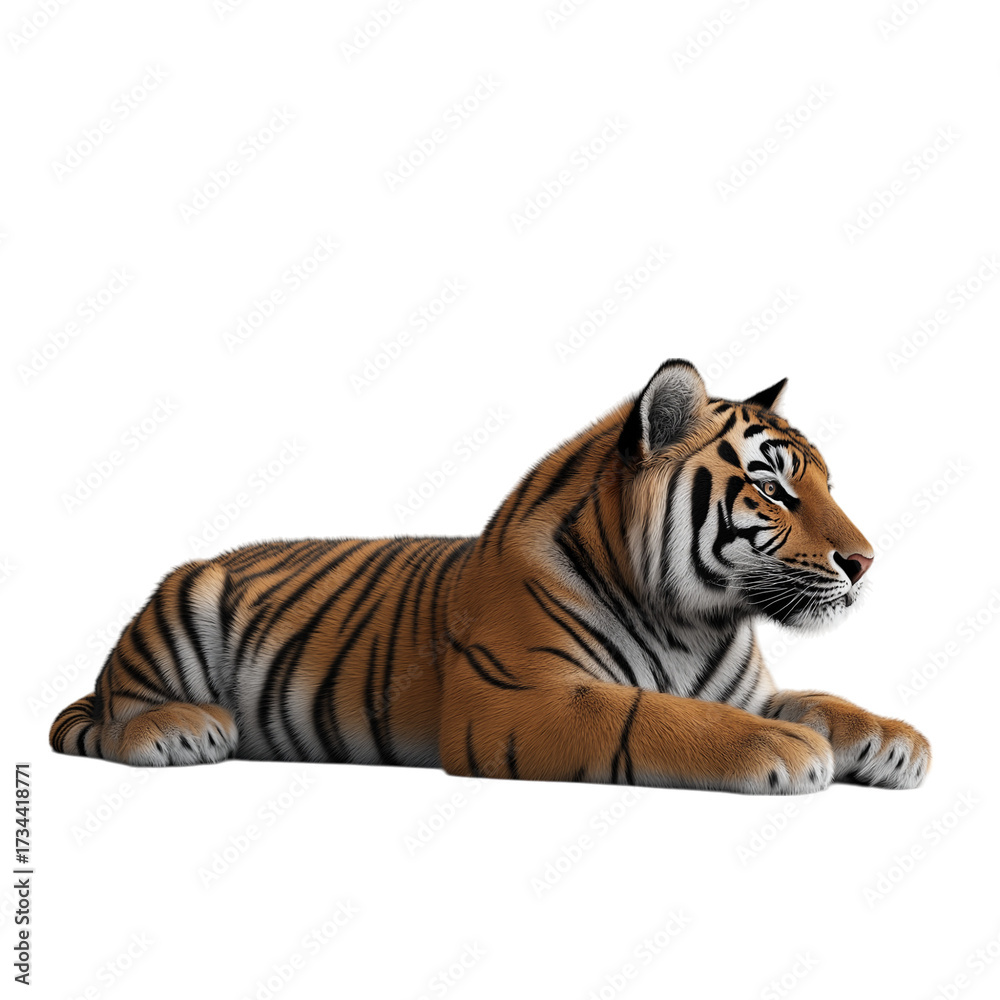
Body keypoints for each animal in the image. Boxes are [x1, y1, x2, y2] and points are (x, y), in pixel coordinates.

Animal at [50, 359, 930, 794]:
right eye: (773, 489)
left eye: (827, 484)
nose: (865, 561)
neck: (694, 619)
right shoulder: (519, 698)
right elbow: (655, 715)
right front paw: (786, 748)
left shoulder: (738, 684)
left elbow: (822, 700)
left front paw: (898, 742)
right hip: (177, 609)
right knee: (108, 721)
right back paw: (182, 729)